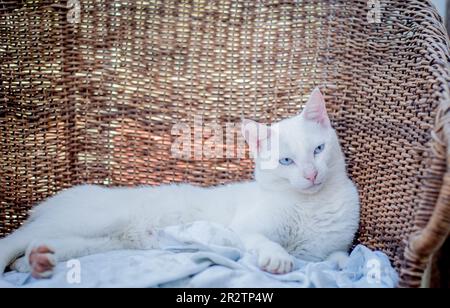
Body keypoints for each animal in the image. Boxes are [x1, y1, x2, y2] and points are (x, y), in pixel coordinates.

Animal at [0, 88, 358, 278]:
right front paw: (277, 257)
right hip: (93, 219)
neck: (312, 206)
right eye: (286, 161)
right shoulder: (243, 228)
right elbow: (260, 240)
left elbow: (337, 259)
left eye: (318, 150)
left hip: (95, 243)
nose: (311, 174)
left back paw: (36, 261)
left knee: (44, 245)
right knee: (16, 239)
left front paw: (340, 265)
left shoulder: (324, 253)